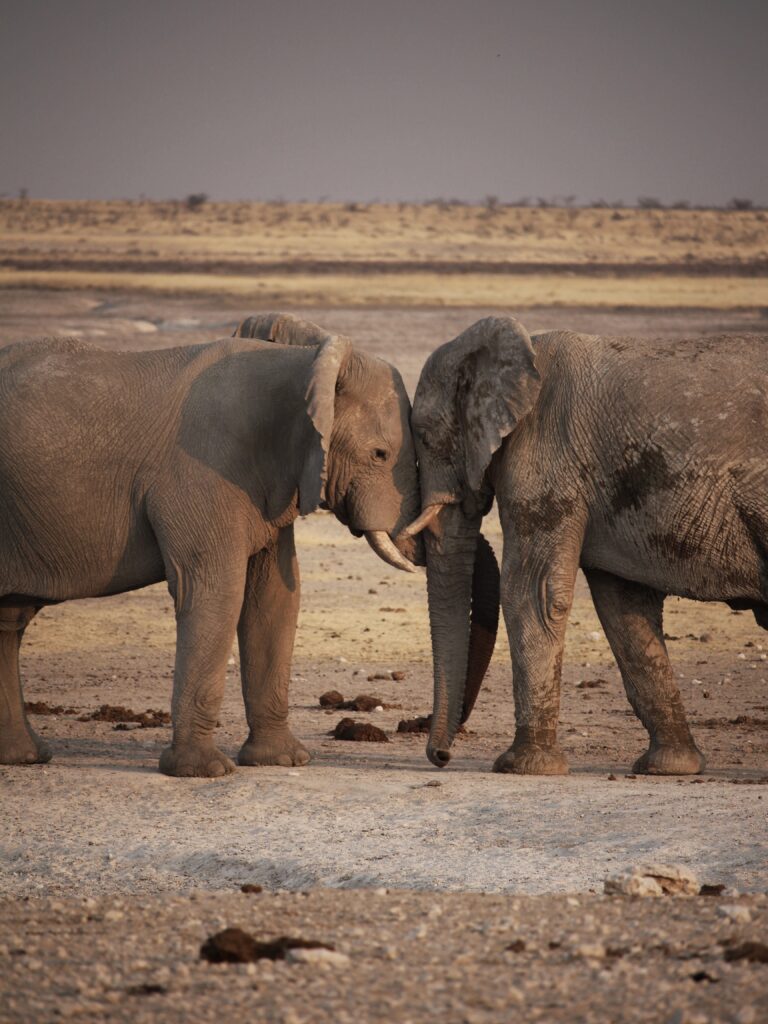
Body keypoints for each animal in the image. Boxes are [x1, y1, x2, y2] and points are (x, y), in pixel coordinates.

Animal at [0, 313, 421, 776]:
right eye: (380, 454)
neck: (305, 364)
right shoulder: (202, 472)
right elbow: (216, 592)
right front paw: (203, 771)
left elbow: (274, 599)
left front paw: (282, 761)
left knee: (8, 622)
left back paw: (23, 757)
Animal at [404, 314, 768, 776]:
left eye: (423, 434)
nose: (442, 756)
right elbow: (623, 610)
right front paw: (669, 767)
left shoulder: (545, 456)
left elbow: (532, 594)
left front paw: (522, 767)